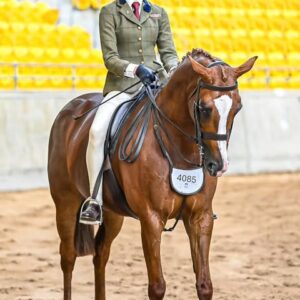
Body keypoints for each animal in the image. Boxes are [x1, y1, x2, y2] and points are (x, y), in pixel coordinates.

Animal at [48, 48, 256, 298]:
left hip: (112, 212)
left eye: (238, 107)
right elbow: (157, 286)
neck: (178, 148)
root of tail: (72, 107)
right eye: (204, 108)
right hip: (66, 202)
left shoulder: (201, 217)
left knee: (100, 254)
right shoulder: (151, 219)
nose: (218, 165)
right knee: (68, 257)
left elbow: (205, 284)